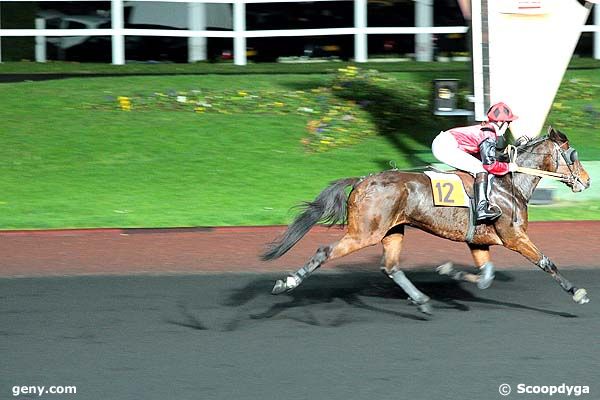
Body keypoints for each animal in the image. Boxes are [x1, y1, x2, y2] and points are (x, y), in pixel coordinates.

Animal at [262, 126, 592, 314]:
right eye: (573, 155)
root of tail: (363, 180)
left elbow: (486, 276)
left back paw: (421, 299)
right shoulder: (514, 236)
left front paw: (449, 271)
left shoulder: (479, 241)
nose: (587, 181)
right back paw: (287, 282)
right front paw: (577, 292)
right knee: (324, 251)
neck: (509, 182)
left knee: (391, 267)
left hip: (393, 231)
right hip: (365, 233)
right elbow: (546, 262)